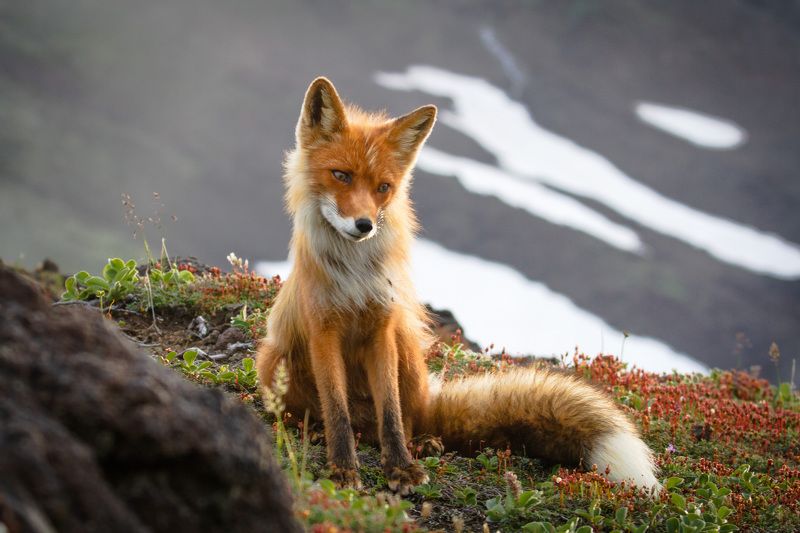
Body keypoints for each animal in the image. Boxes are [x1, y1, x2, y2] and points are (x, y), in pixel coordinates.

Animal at [256, 77, 661, 495]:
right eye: (341, 175)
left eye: (383, 187)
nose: (364, 225)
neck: (354, 274)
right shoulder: (324, 329)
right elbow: (336, 409)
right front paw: (342, 468)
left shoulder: (382, 327)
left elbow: (391, 415)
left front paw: (400, 466)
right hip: (274, 360)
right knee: (326, 416)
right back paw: (316, 431)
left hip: (407, 353)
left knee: (407, 422)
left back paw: (422, 443)